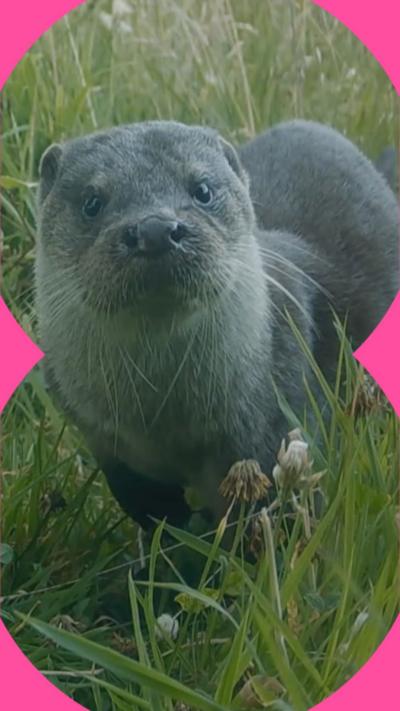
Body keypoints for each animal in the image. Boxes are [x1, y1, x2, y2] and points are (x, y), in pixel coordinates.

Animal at [35, 120, 398, 530]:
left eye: (203, 190)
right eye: (92, 202)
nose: (155, 228)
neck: (163, 420)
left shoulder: (276, 426)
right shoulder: (110, 447)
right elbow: (148, 509)